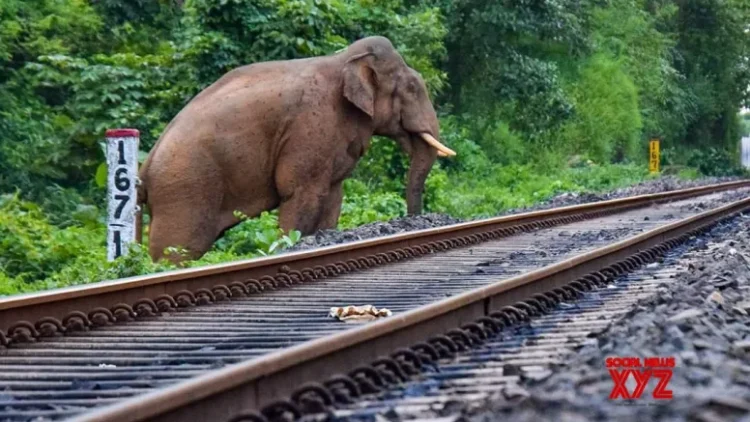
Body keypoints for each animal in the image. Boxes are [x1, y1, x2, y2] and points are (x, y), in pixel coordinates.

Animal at [138, 36, 456, 262]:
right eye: (412, 88)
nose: (416, 220)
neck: (343, 60)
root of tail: (145, 166)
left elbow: (333, 196)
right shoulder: (309, 128)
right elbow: (301, 193)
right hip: (185, 191)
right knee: (177, 251)